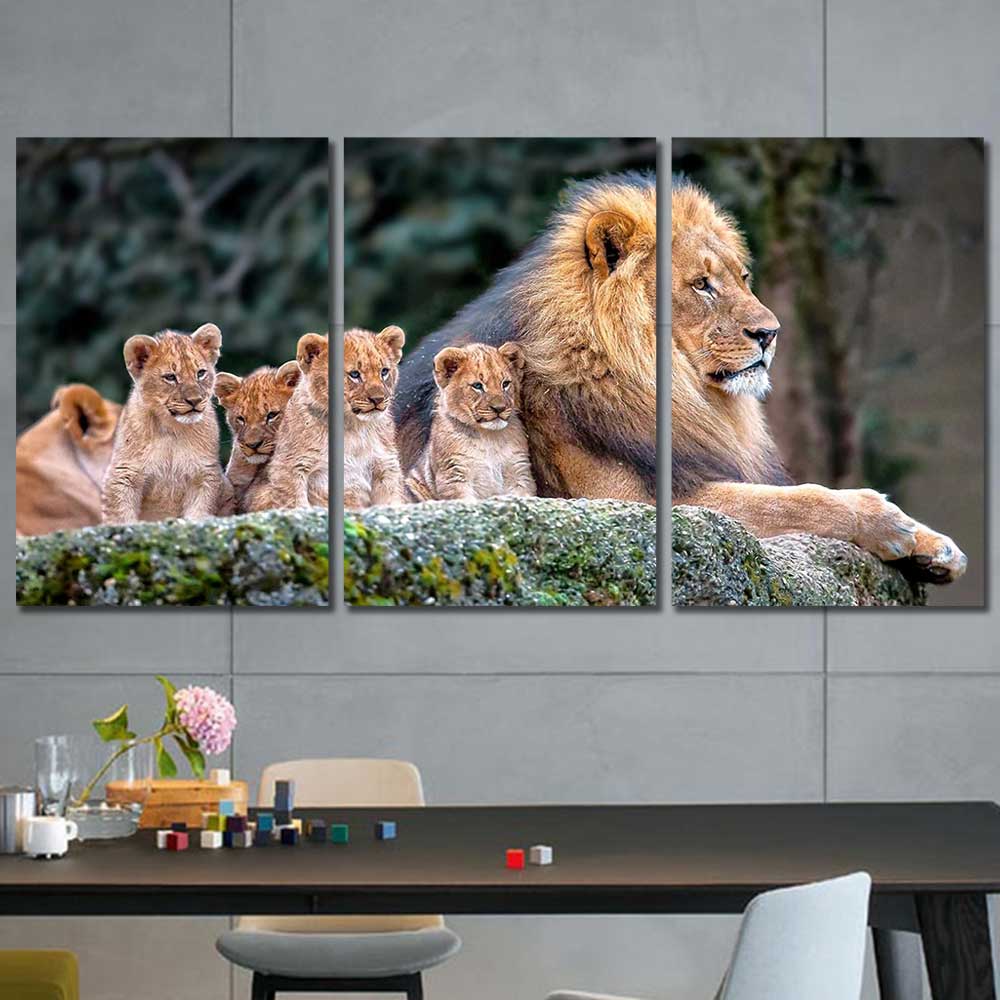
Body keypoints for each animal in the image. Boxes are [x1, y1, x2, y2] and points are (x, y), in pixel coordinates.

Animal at [101, 323, 227, 524]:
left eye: (200, 373)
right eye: (170, 377)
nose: (195, 401)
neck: (172, 429)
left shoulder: (204, 473)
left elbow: (198, 510)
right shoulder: (123, 474)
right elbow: (121, 516)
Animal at [406, 341, 536, 501]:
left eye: (505, 384)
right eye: (478, 386)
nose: (499, 408)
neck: (489, 437)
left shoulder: (519, 472)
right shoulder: (454, 475)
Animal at [670, 178, 966, 583]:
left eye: (743, 279)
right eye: (702, 285)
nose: (769, 334)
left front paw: (935, 547)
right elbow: (788, 500)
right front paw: (882, 520)